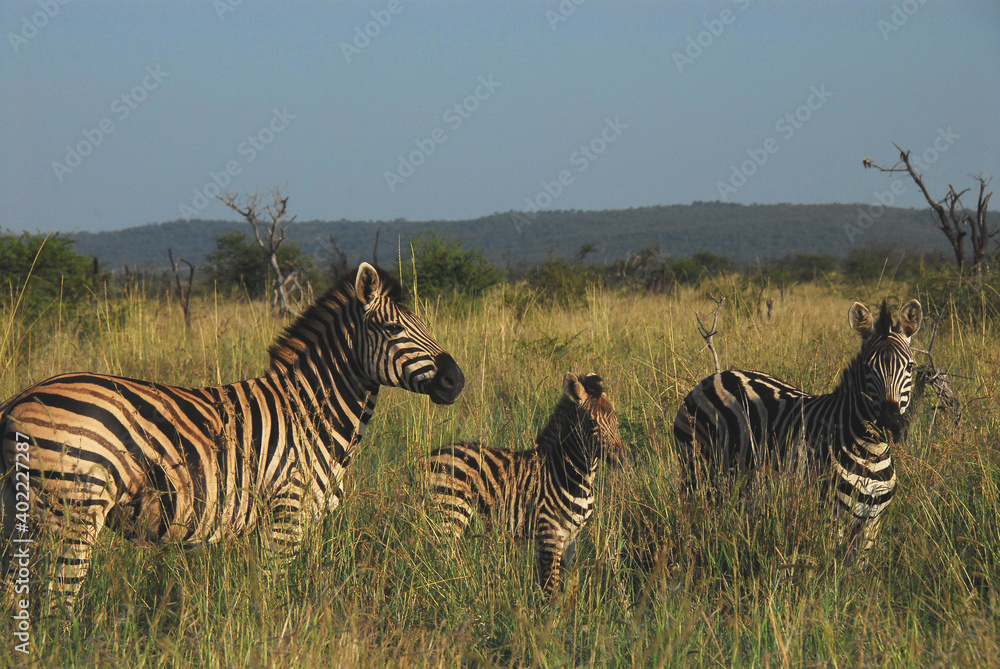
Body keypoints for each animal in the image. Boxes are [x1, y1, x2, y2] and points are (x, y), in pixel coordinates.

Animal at [0, 263, 465, 610]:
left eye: (424, 323)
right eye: (391, 330)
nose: (456, 380)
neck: (310, 411)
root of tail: (16, 401)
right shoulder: (285, 512)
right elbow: (274, 593)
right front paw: (274, 640)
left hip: (18, 516)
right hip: (72, 509)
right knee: (58, 604)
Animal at [426, 372, 626, 592]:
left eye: (616, 419)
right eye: (591, 422)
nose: (621, 458)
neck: (570, 474)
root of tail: (433, 453)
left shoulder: (572, 538)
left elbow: (568, 586)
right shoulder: (549, 535)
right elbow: (551, 588)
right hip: (449, 513)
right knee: (441, 560)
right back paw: (449, 589)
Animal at [673, 299, 922, 563]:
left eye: (910, 366)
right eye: (866, 368)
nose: (891, 424)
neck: (871, 452)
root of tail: (715, 377)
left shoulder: (871, 523)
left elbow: (855, 569)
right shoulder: (831, 516)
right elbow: (830, 568)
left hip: (737, 479)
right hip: (695, 468)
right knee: (691, 517)